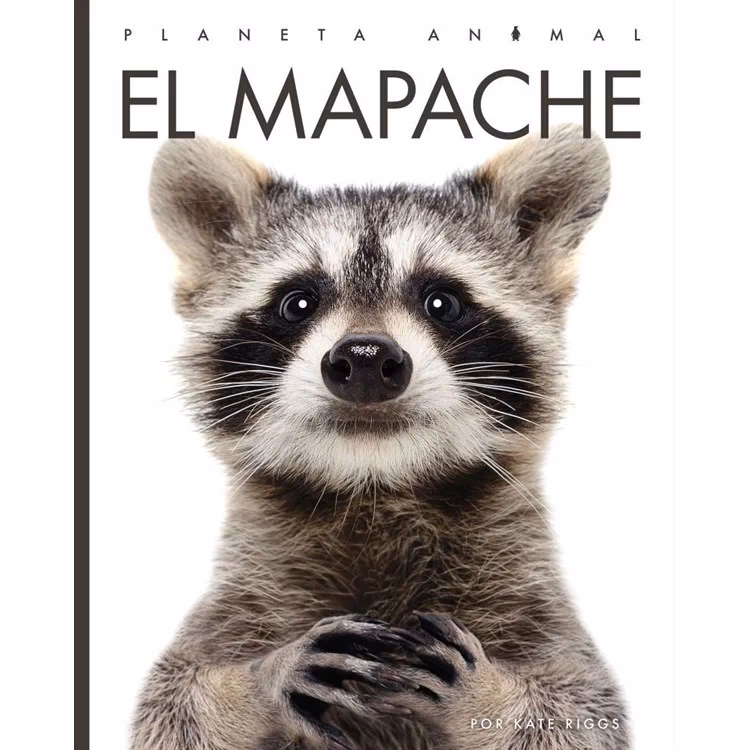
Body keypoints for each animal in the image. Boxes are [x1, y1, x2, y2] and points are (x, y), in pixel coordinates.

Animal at [132, 125, 628, 750]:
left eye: (442, 301)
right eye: (298, 302)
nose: (366, 358)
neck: (374, 487)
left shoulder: (538, 609)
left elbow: (583, 713)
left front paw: (488, 695)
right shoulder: (236, 604)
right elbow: (171, 703)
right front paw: (256, 681)